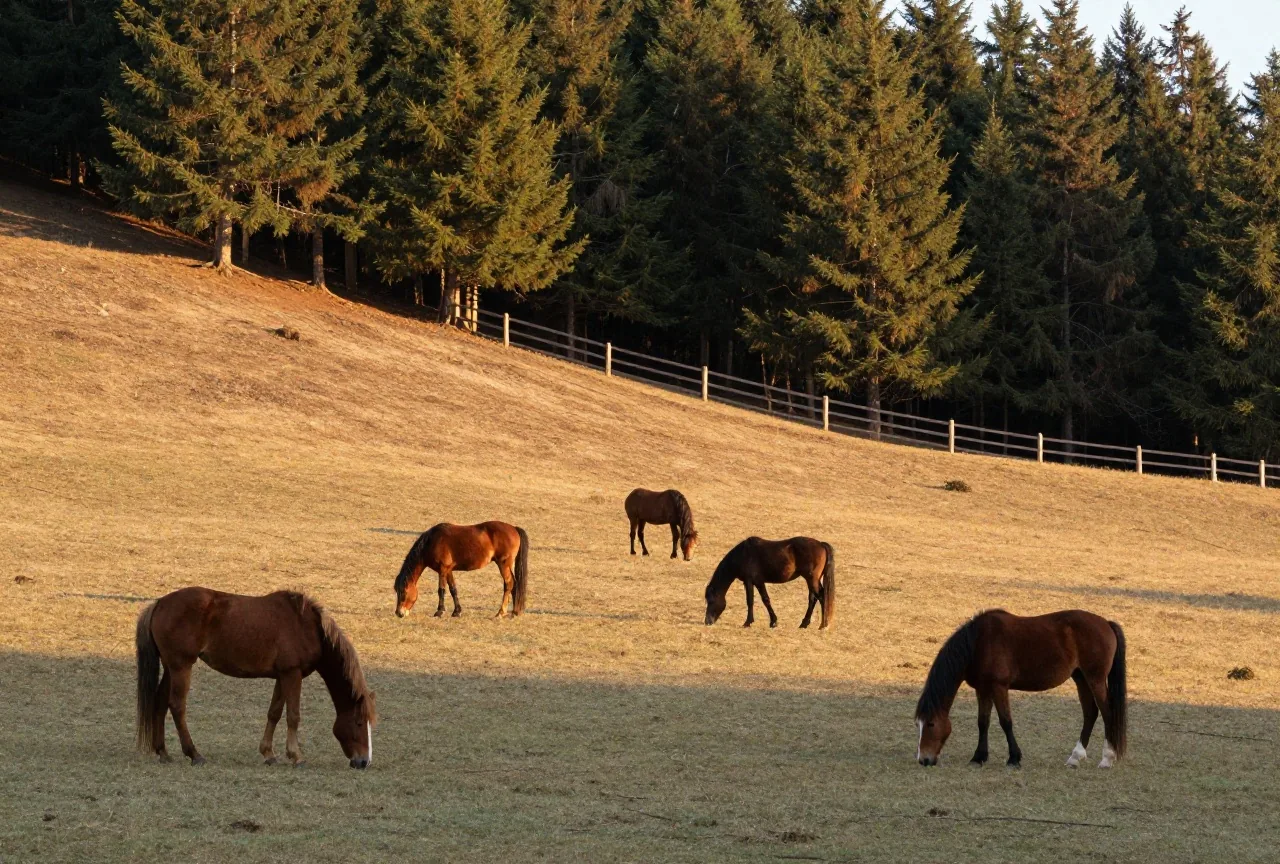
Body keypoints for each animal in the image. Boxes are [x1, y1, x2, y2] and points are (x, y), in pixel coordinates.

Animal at [135, 588, 376, 768]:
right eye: (359, 722)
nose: (363, 762)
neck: (308, 627)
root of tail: (159, 603)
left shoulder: (283, 676)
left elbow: (274, 713)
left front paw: (268, 754)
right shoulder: (293, 674)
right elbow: (293, 716)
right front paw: (296, 756)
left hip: (170, 668)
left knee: (160, 703)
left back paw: (163, 752)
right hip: (181, 666)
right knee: (177, 706)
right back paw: (194, 754)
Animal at [393, 521, 529, 619]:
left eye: (403, 592)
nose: (399, 613)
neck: (432, 542)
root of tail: (513, 528)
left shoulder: (442, 570)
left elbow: (441, 590)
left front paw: (439, 612)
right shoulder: (448, 570)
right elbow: (453, 589)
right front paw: (457, 612)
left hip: (503, 564)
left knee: (509, 584)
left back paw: (501, 612)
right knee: (515, 584)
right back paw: (514, 612)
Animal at [703, 536, 835, 629]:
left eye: (711, 601)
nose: (707, 622)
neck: (743, 555)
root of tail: (821, 544)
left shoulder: (751, 581)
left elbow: (753, 601)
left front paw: (748, 622)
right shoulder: (756, 582)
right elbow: (763, 600)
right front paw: (773, 622)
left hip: (811, 579)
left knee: (821, 597)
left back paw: (823, 625)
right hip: (812, 580)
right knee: (813, 598)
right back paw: (804, 624)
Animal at [914, 609, 1127, 769]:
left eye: (931, 724)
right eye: (918, 725)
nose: (924, 760)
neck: (979, 643)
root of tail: (1106, 623)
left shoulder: (999, 687)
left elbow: (1005, 722)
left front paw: (1014, 758)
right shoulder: (983, 689)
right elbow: (983, 722)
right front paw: (978, 757)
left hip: (1095, 679)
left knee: (1107, 713)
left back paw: (1107, 758)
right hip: (1081, 678)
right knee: (1090, 713)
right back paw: (1075, 757)